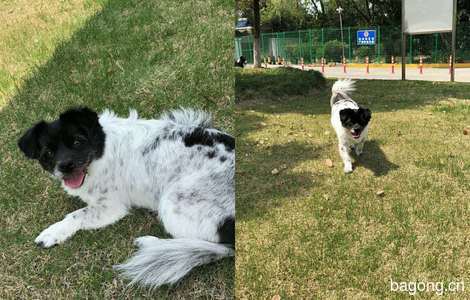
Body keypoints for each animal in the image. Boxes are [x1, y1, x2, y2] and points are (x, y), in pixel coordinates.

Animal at [18, 107, 235, 288]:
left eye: (78, 141)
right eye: (48, 152)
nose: (65, 166)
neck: (102, 149)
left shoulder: (110, 207)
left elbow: (76, 215)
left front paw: (51, 232)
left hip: (172, 203)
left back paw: (154, 244)